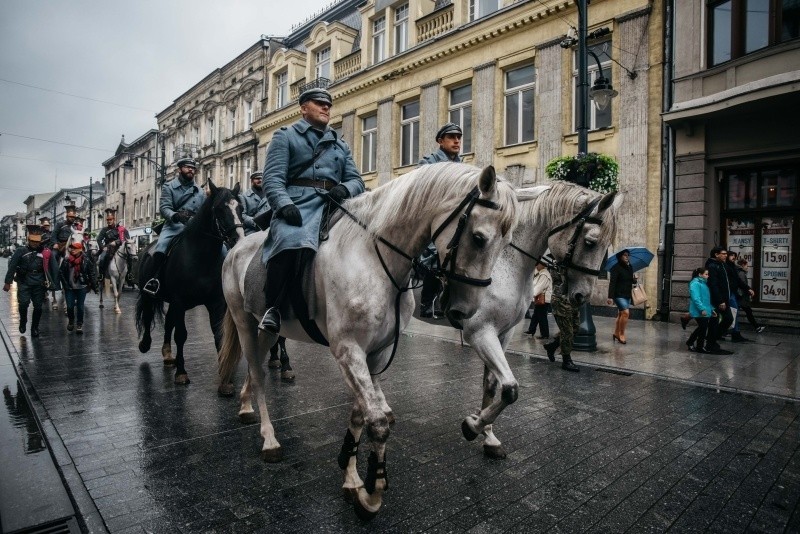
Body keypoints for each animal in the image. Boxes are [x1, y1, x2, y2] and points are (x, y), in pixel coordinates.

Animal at [136, 180, 245, 386]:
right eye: (219, 209)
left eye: (241, 208)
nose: (239, 239)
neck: (201, 257)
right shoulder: (179, 301)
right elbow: (181, 335)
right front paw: (181, 372)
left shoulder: (215, 302)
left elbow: (218, 333)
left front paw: (225, 377)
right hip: (149, 295)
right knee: (147, 317)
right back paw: (145, 344)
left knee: (168, 323)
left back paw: (167, 353)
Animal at [219, 164, 520, 520]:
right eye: (478, 237)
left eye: (508, 242)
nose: (467, 311)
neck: (372, 259)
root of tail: (237, 247)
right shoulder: (348, 351)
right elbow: (375, 421)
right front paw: (372, 491)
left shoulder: (374, 353)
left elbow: (360, 414)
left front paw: (351, 478)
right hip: (244, 322)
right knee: (258, 374)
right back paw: (269, 440)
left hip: (267, 331)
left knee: (257, 370)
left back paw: (246, 406)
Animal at [456, 182, 624, 458]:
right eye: (590, 242)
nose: (581, 297)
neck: (503, 263)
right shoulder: (479, 332)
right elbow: (510, 389)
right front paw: (473, 426)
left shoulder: (503, 332)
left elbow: (493, 385)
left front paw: (487, 434)